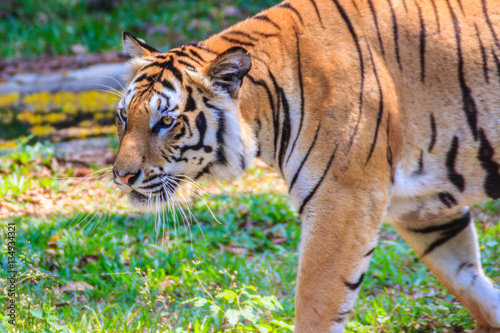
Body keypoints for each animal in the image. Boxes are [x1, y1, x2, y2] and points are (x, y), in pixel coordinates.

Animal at [112, 0, 500, 330]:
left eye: (165, 122)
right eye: (123, 116)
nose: (121, 176)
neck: (265, 113)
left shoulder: (342, 203)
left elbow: (317, 305)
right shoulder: (420, 205)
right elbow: (466, 277)